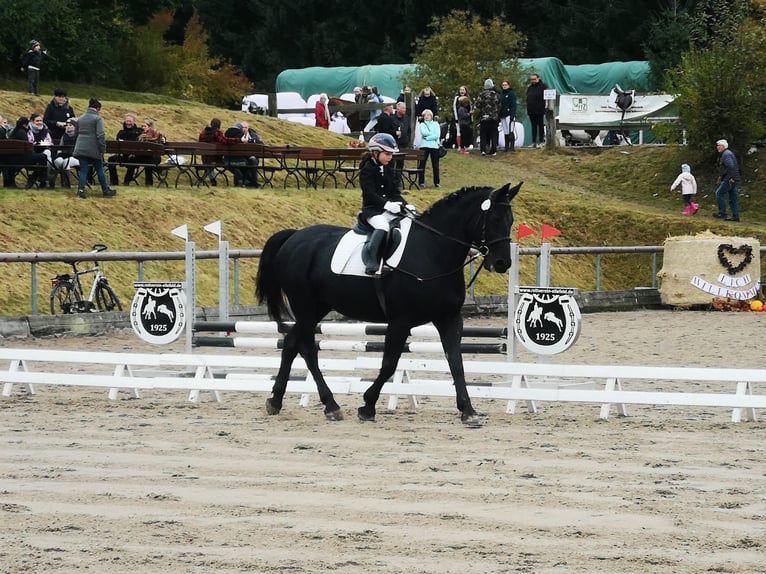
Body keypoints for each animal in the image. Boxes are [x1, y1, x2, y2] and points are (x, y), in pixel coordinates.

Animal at [255, 182, 522, 425]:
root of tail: (294, 236)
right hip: (306, 308)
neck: (432, 251)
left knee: (292, 344)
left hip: (317, 308)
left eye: (510, 220)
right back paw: (328, 405)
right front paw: (367, 406)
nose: (502, 263)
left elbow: (456, 362)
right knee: (306, 348)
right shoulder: (400, 321)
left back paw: (279, 401)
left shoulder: (449, 319)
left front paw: (468, 411)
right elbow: (389, 364)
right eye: (495, 218)